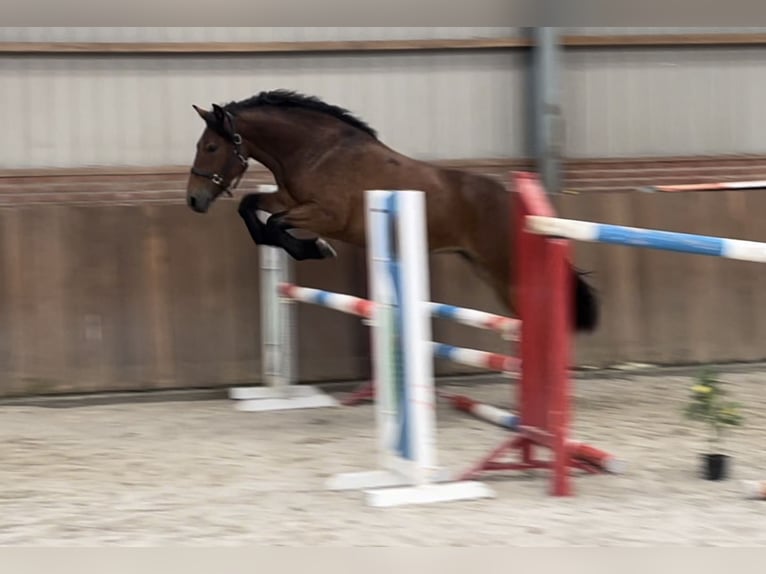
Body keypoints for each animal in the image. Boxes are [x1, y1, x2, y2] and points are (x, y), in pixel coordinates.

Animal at [186, 90, 600, 332]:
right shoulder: (288, 199)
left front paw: (315, 248)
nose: (193, 200)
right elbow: (251, 210)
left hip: (507, 271)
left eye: (210, 147)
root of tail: (517, 206)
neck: (318, 151)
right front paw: (309, 247)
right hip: (487, 270)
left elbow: (273, 224)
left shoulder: (326, 215)